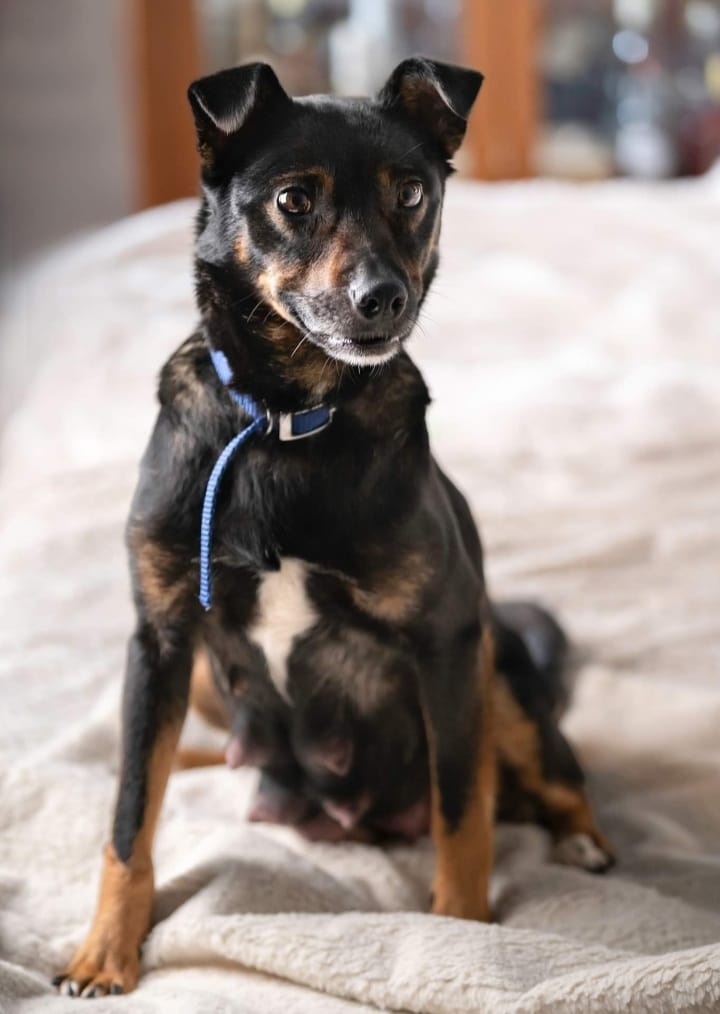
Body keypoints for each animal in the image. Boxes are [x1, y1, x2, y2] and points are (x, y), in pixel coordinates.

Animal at [54, 57, 612, 998]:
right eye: (293, 200)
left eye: (412, 193)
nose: (383, 299)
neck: (284, 421)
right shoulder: (160, 642)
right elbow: (131, 814)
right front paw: (106, 951)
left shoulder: (447, 639)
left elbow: (462, 810)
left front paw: (463, 933)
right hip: (207, 683)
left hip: (497, 674)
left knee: (548, 779)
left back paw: (584, 841)